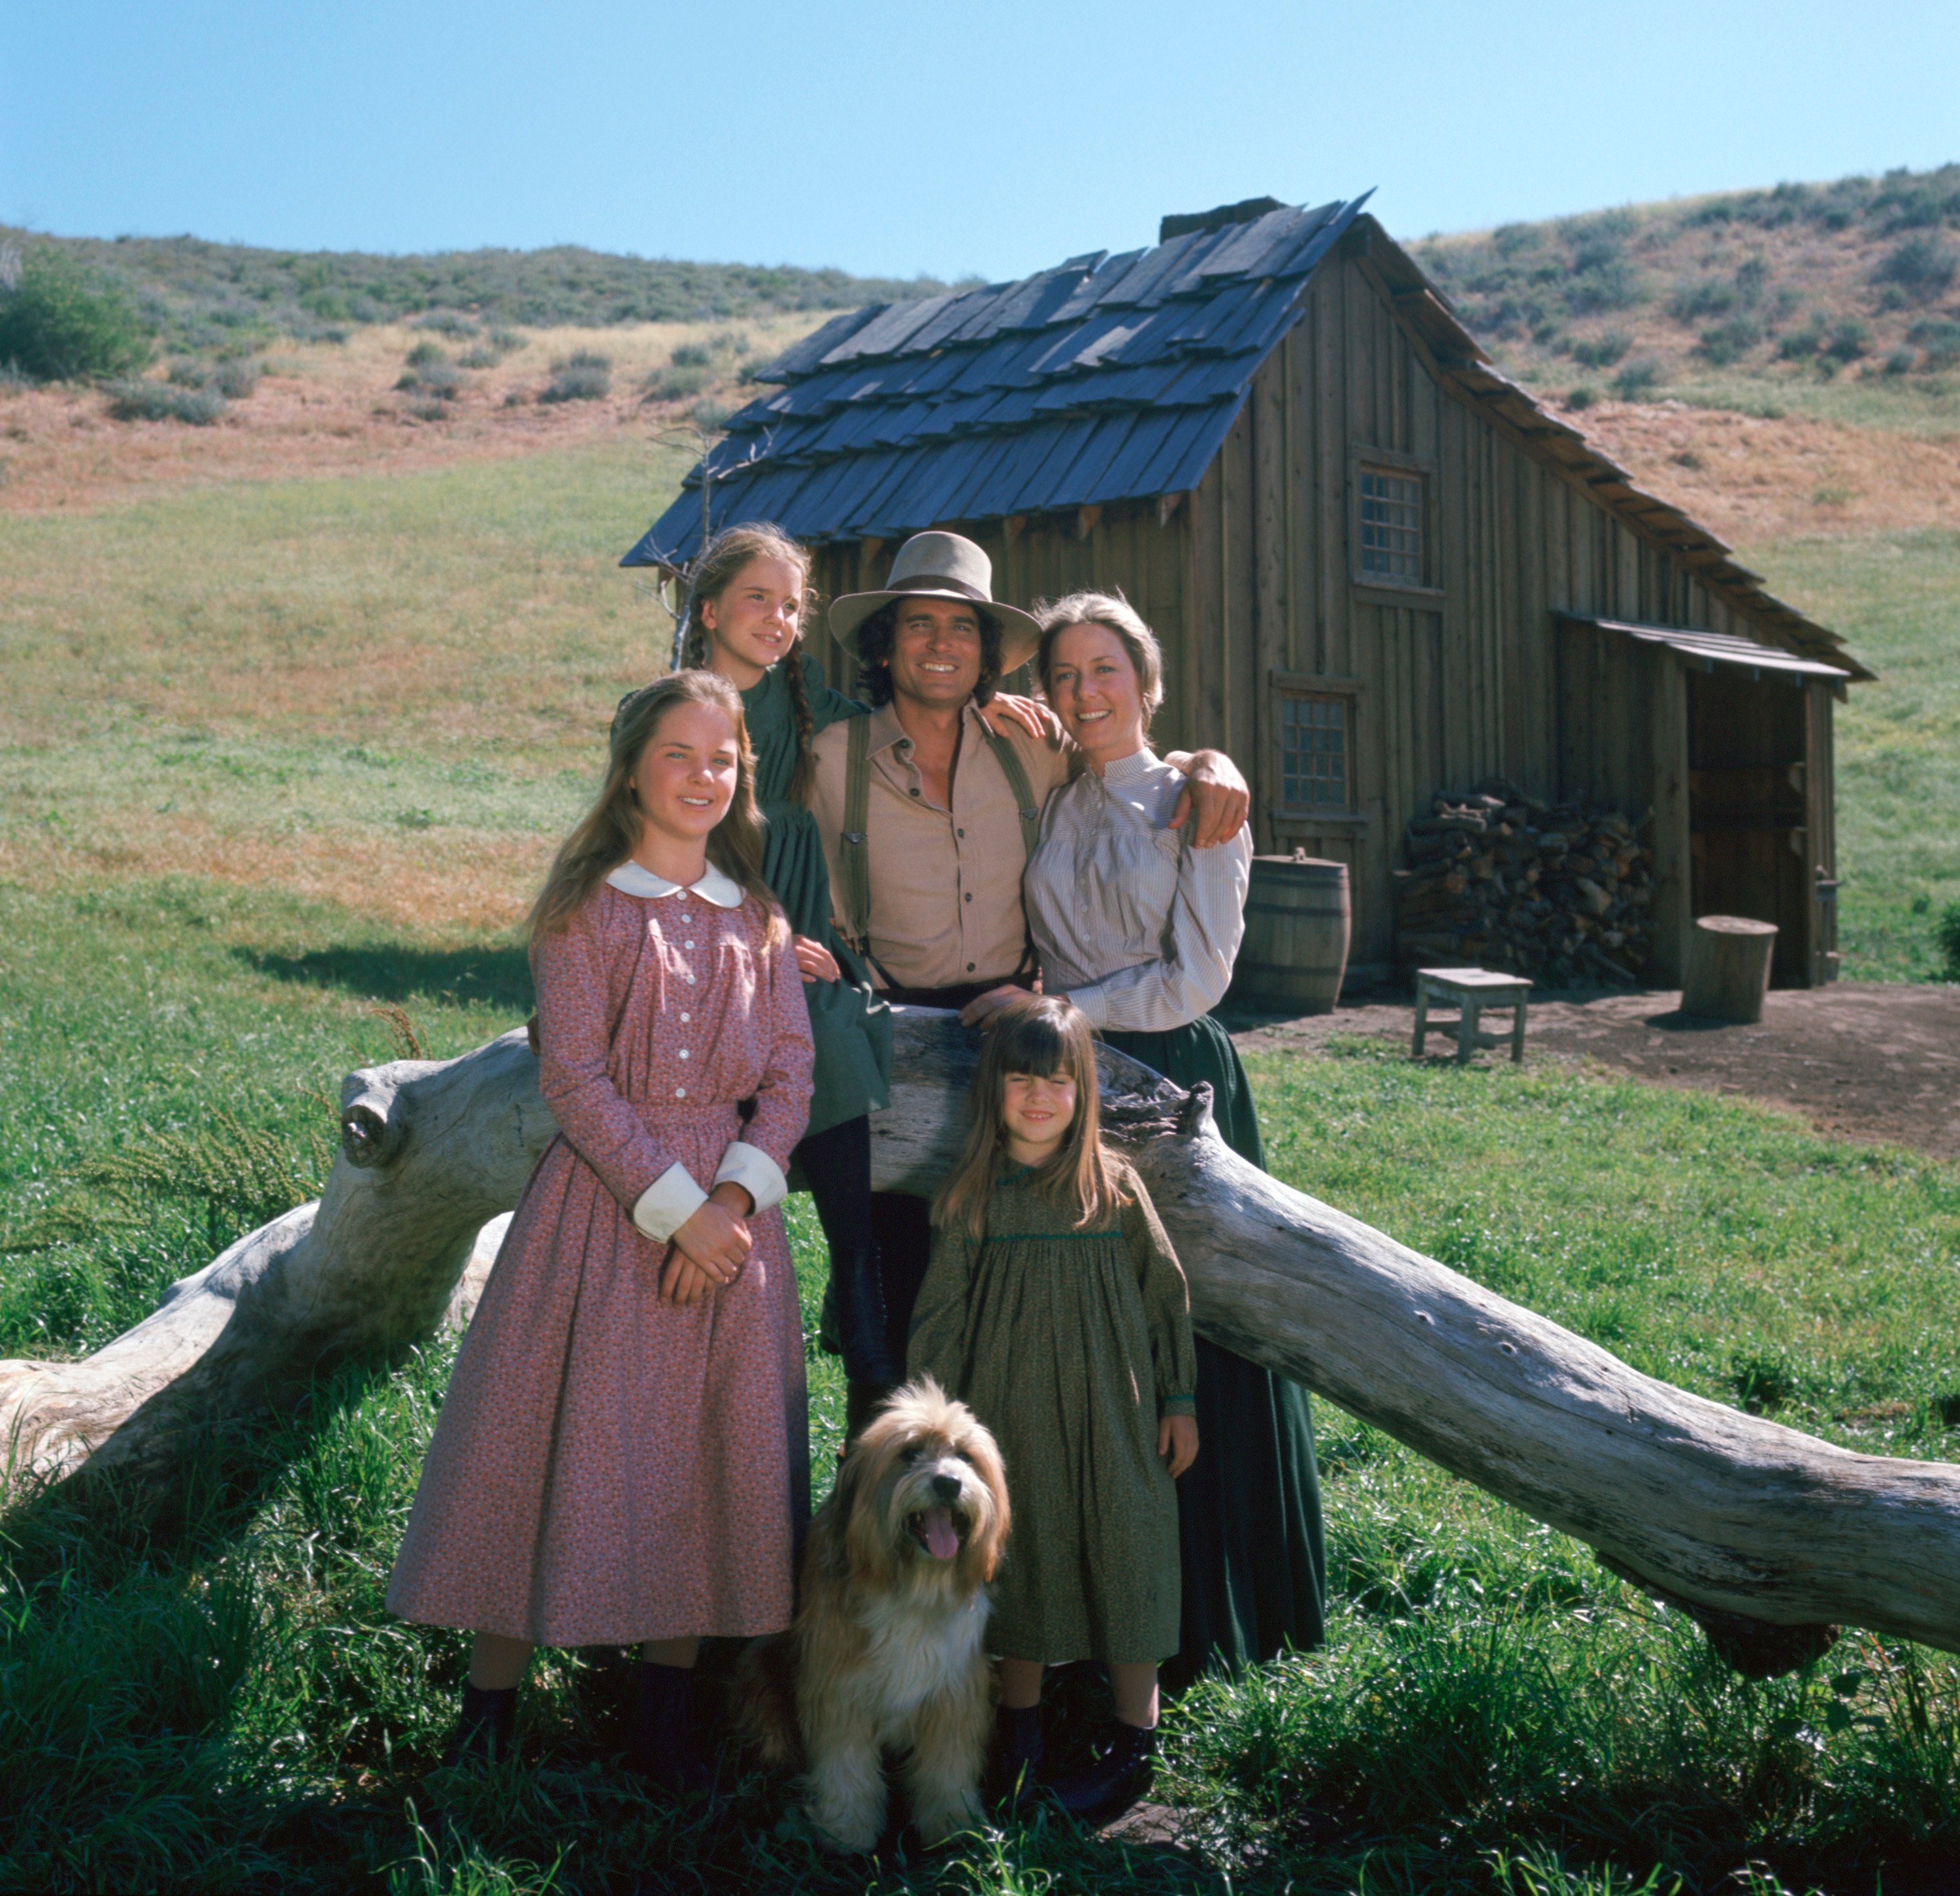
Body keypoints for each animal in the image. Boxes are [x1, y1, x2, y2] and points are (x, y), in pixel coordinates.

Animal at [737, 1380, 1011, 1850]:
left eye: (964, 1455)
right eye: (910, 1453)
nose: (949, 1483)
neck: (913, 1590)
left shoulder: (954, 1693)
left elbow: (948, 1765)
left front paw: (953, 1824)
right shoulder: (840, 1690)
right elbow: (845, 1765)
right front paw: (847, 1830)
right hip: (761, 1665)